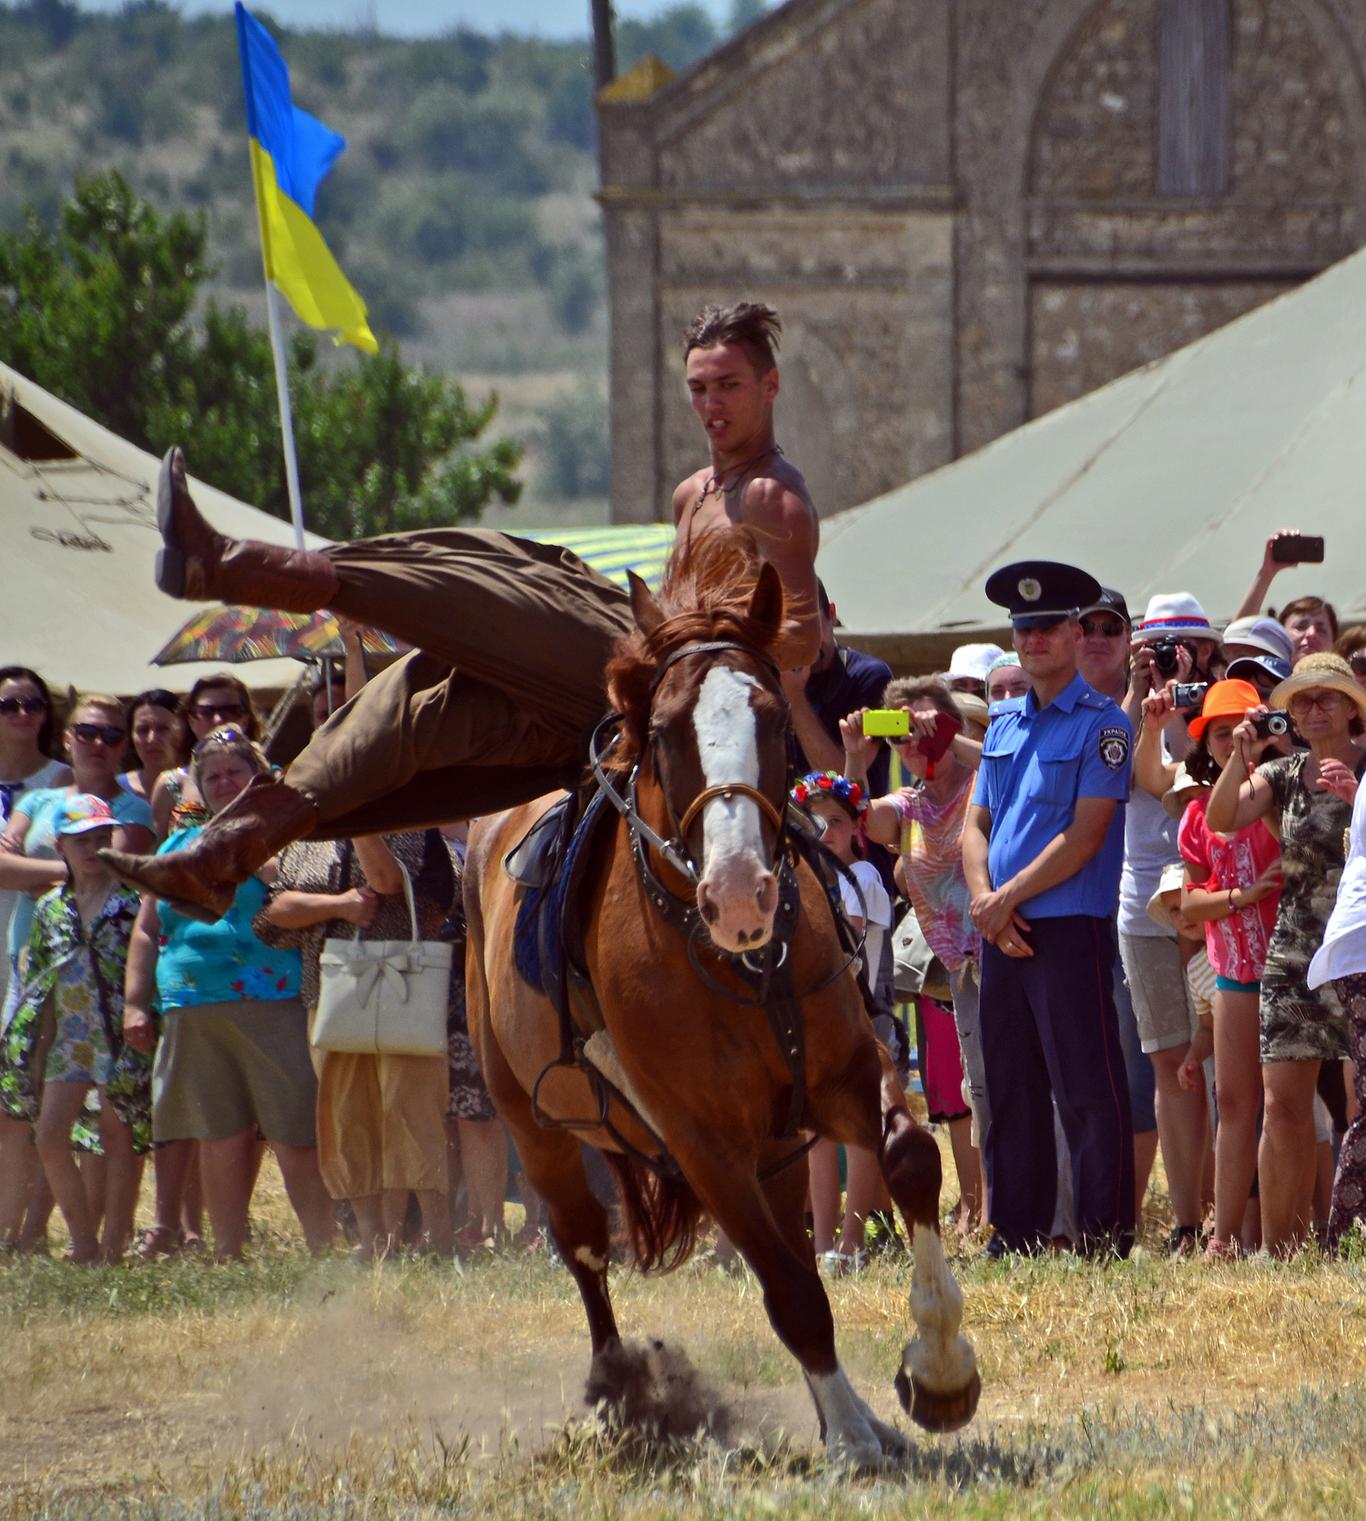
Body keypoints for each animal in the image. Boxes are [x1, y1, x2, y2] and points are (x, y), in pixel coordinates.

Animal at [462, 535, 973, 1460]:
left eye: (773, 717)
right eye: (664, 731)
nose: (740, 893)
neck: (740, 968)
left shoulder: (845, 1074)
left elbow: (912, 1156)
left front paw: (940, 1369)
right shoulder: (704, 1143)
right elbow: (789, 1290)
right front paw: (850, 1433)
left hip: (779, 1146)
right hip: (537, 1126)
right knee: (584, 1247)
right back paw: (625, 1395)